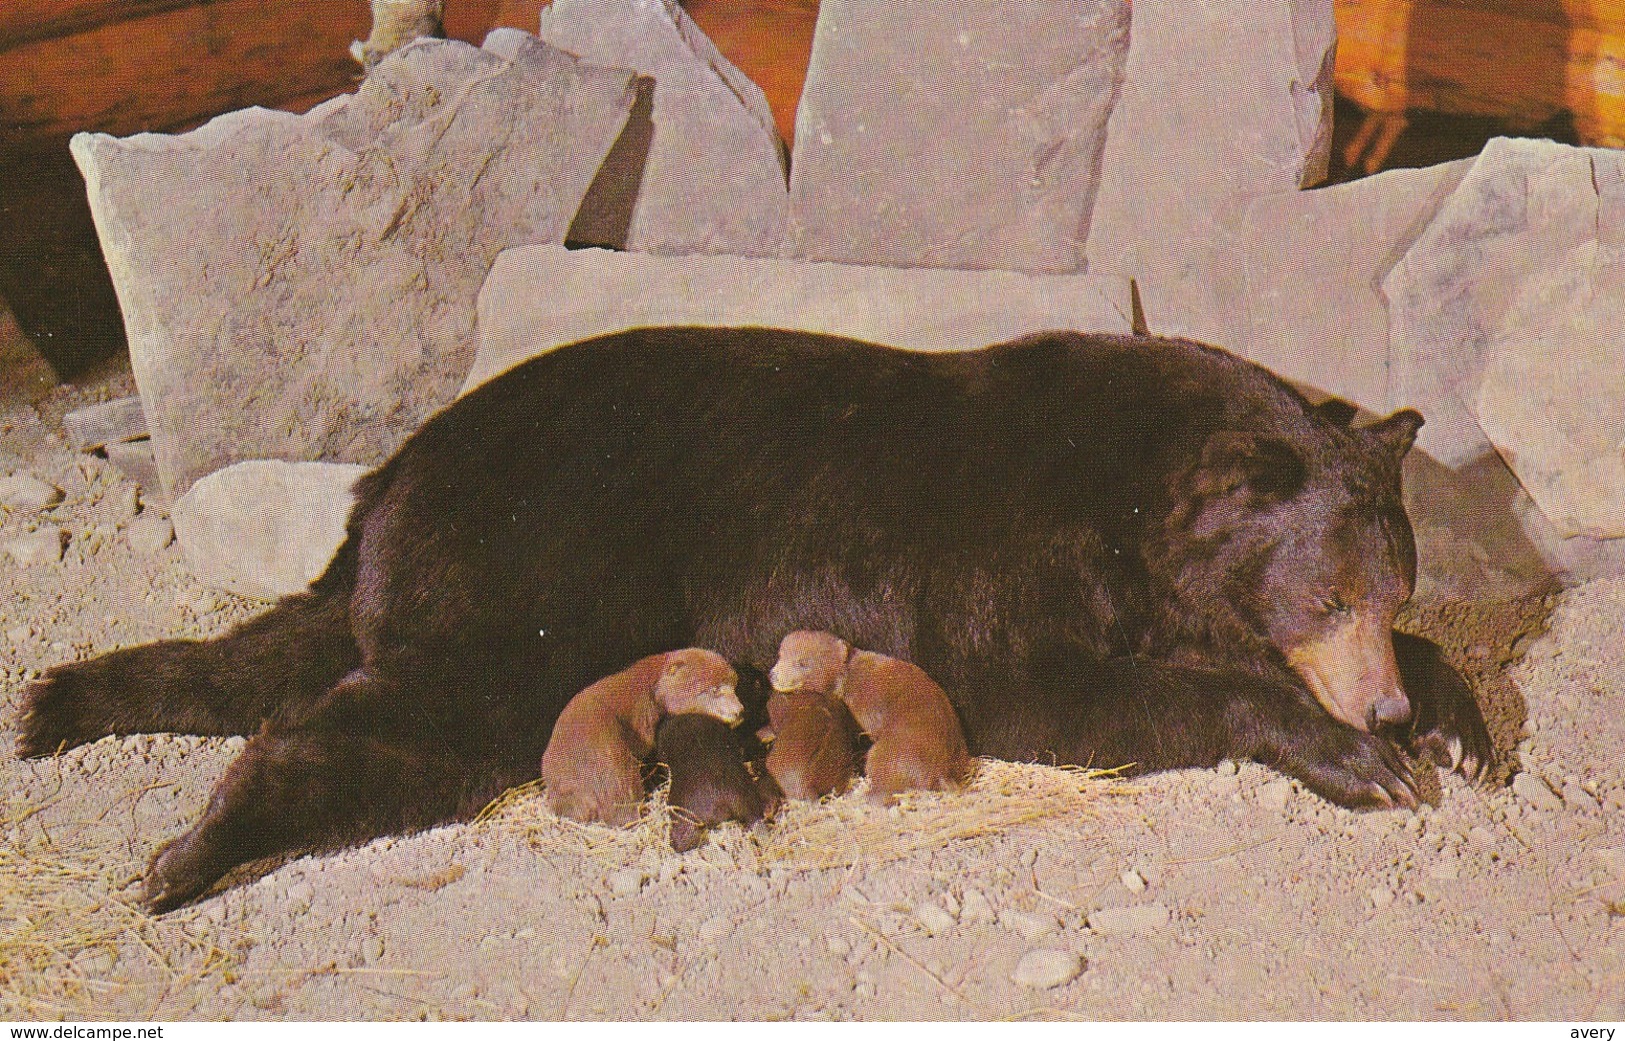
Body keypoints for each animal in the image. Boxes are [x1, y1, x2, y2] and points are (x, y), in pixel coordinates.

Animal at [12, 328, 1488, 902]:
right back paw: (189, 855)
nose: (1379, 705)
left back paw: (53, 702)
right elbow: (1057, 688)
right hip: (521, 563)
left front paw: (1455, 720)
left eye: (1390, 585)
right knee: (408, 709)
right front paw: (1357, 758)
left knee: (271, 657)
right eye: (1325, 590)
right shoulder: (1001, 561)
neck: (1131, 493)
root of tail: (398, 470)